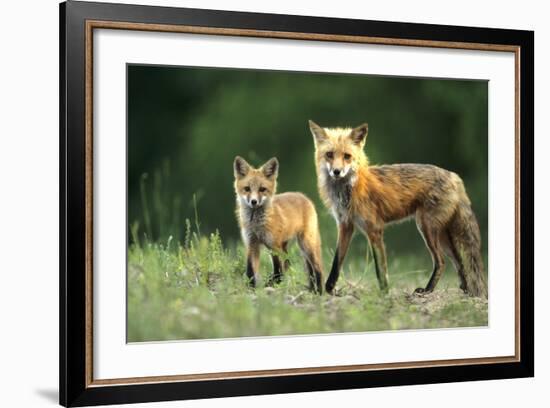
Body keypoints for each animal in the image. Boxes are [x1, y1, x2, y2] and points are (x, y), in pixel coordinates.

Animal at [235, 156, 326, 294]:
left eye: (262, 189)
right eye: (247, 189)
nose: (254, 202)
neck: (257, 225)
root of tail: (303, 196)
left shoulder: (274, 245)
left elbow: (278, 271)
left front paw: (273, 284)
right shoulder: (252, 243)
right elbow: (250, 270)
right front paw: (251, 288)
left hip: (306, 244)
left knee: (317, 268)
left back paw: (319, 291)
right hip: (288, 247)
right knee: (291, 265)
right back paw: (311, 289)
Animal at [310, 119, 488, 298]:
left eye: (347, 156)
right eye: (329, 154)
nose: (336, 171)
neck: (347, 190)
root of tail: (454, 176)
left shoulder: (374, 228)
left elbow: (380, 269)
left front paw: (384, 293)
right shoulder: (345, 225)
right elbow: (336, 263)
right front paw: (330, 289)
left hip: (426, 227)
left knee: (442, 261)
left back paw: (428, 290)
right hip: (442, 234)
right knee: (459, 262)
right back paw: (466, 291)